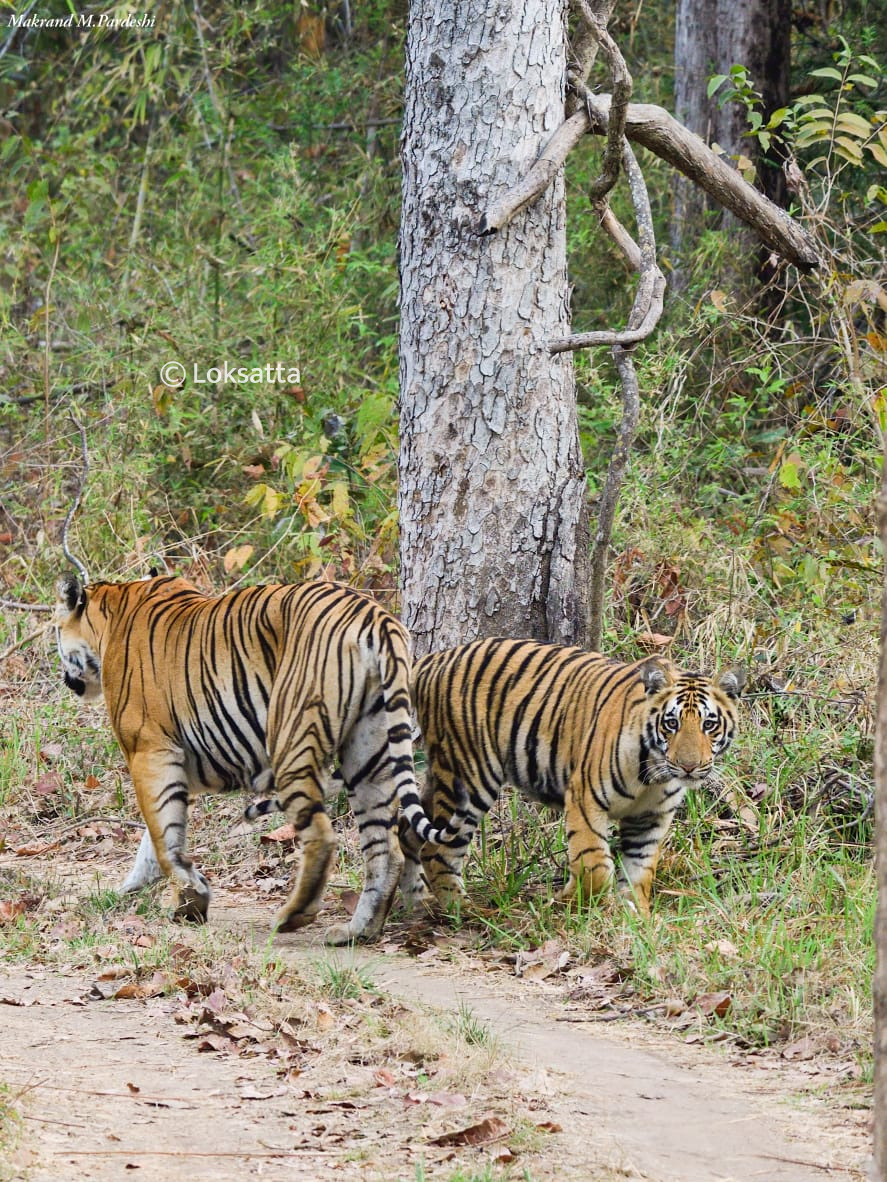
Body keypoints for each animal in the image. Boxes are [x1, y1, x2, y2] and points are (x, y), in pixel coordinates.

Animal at [53, 569, 465, 940]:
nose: (65, 679)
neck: (110, 610)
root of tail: (375, 616)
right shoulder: (181, 762)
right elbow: (155, 839)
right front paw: (138, 889)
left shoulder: (148, 749)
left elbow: (161, 832)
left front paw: (189, 898)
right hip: (369, 752)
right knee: (385, 848)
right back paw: (358, 930)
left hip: (292, 736)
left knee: (321, 836)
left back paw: (293, 916)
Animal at [399, 643, 747, 917]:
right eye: (671, 723)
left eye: (709, 724)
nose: (689, 766)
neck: (653, 775)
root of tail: (431, 659)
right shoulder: (585, 798)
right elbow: (595, 866)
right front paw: (564, 902)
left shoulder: (650, 818)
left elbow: (639, 871)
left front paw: (636, 918)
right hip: (469, 775)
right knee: (438, 850)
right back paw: (462, 911)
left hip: (441, 775)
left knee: (409, 830)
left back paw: (413, 903)